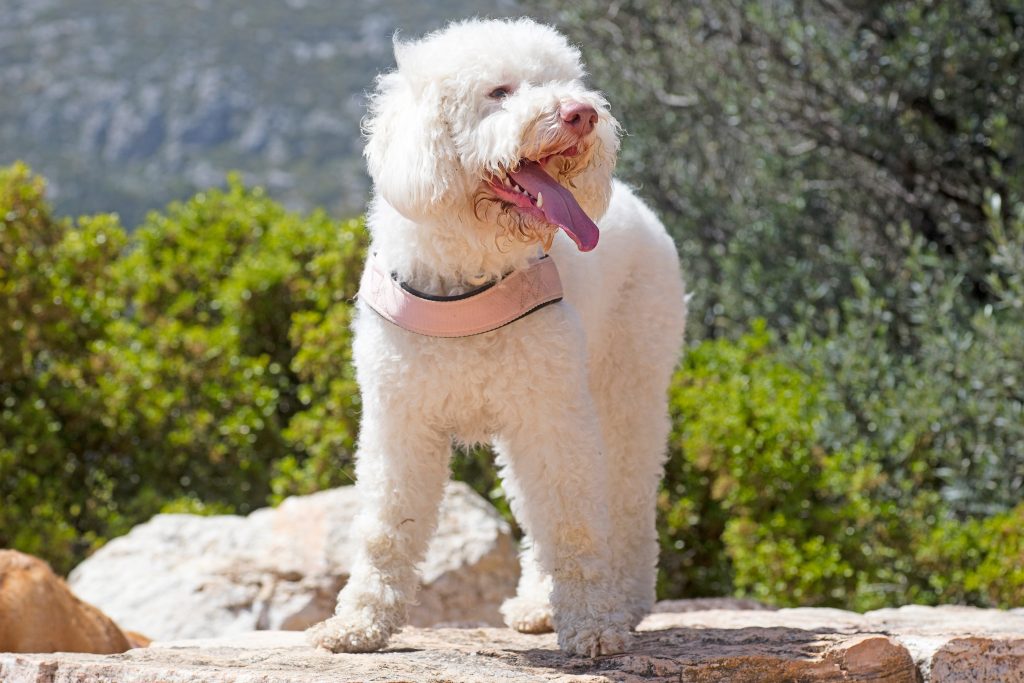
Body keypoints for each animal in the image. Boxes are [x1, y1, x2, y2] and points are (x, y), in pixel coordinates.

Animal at [305, 15, 688, 655]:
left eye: (563, 81)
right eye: (499, 92)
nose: (582, 113)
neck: (470, 275)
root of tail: (635, 202)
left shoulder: (551, 414)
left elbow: (573, 522)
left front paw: (593, 626)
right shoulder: (400, 418)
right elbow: (386, 528)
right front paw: (358, 624)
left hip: (626, 388)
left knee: (625, 500)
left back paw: (626, 601)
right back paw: (536, 605)